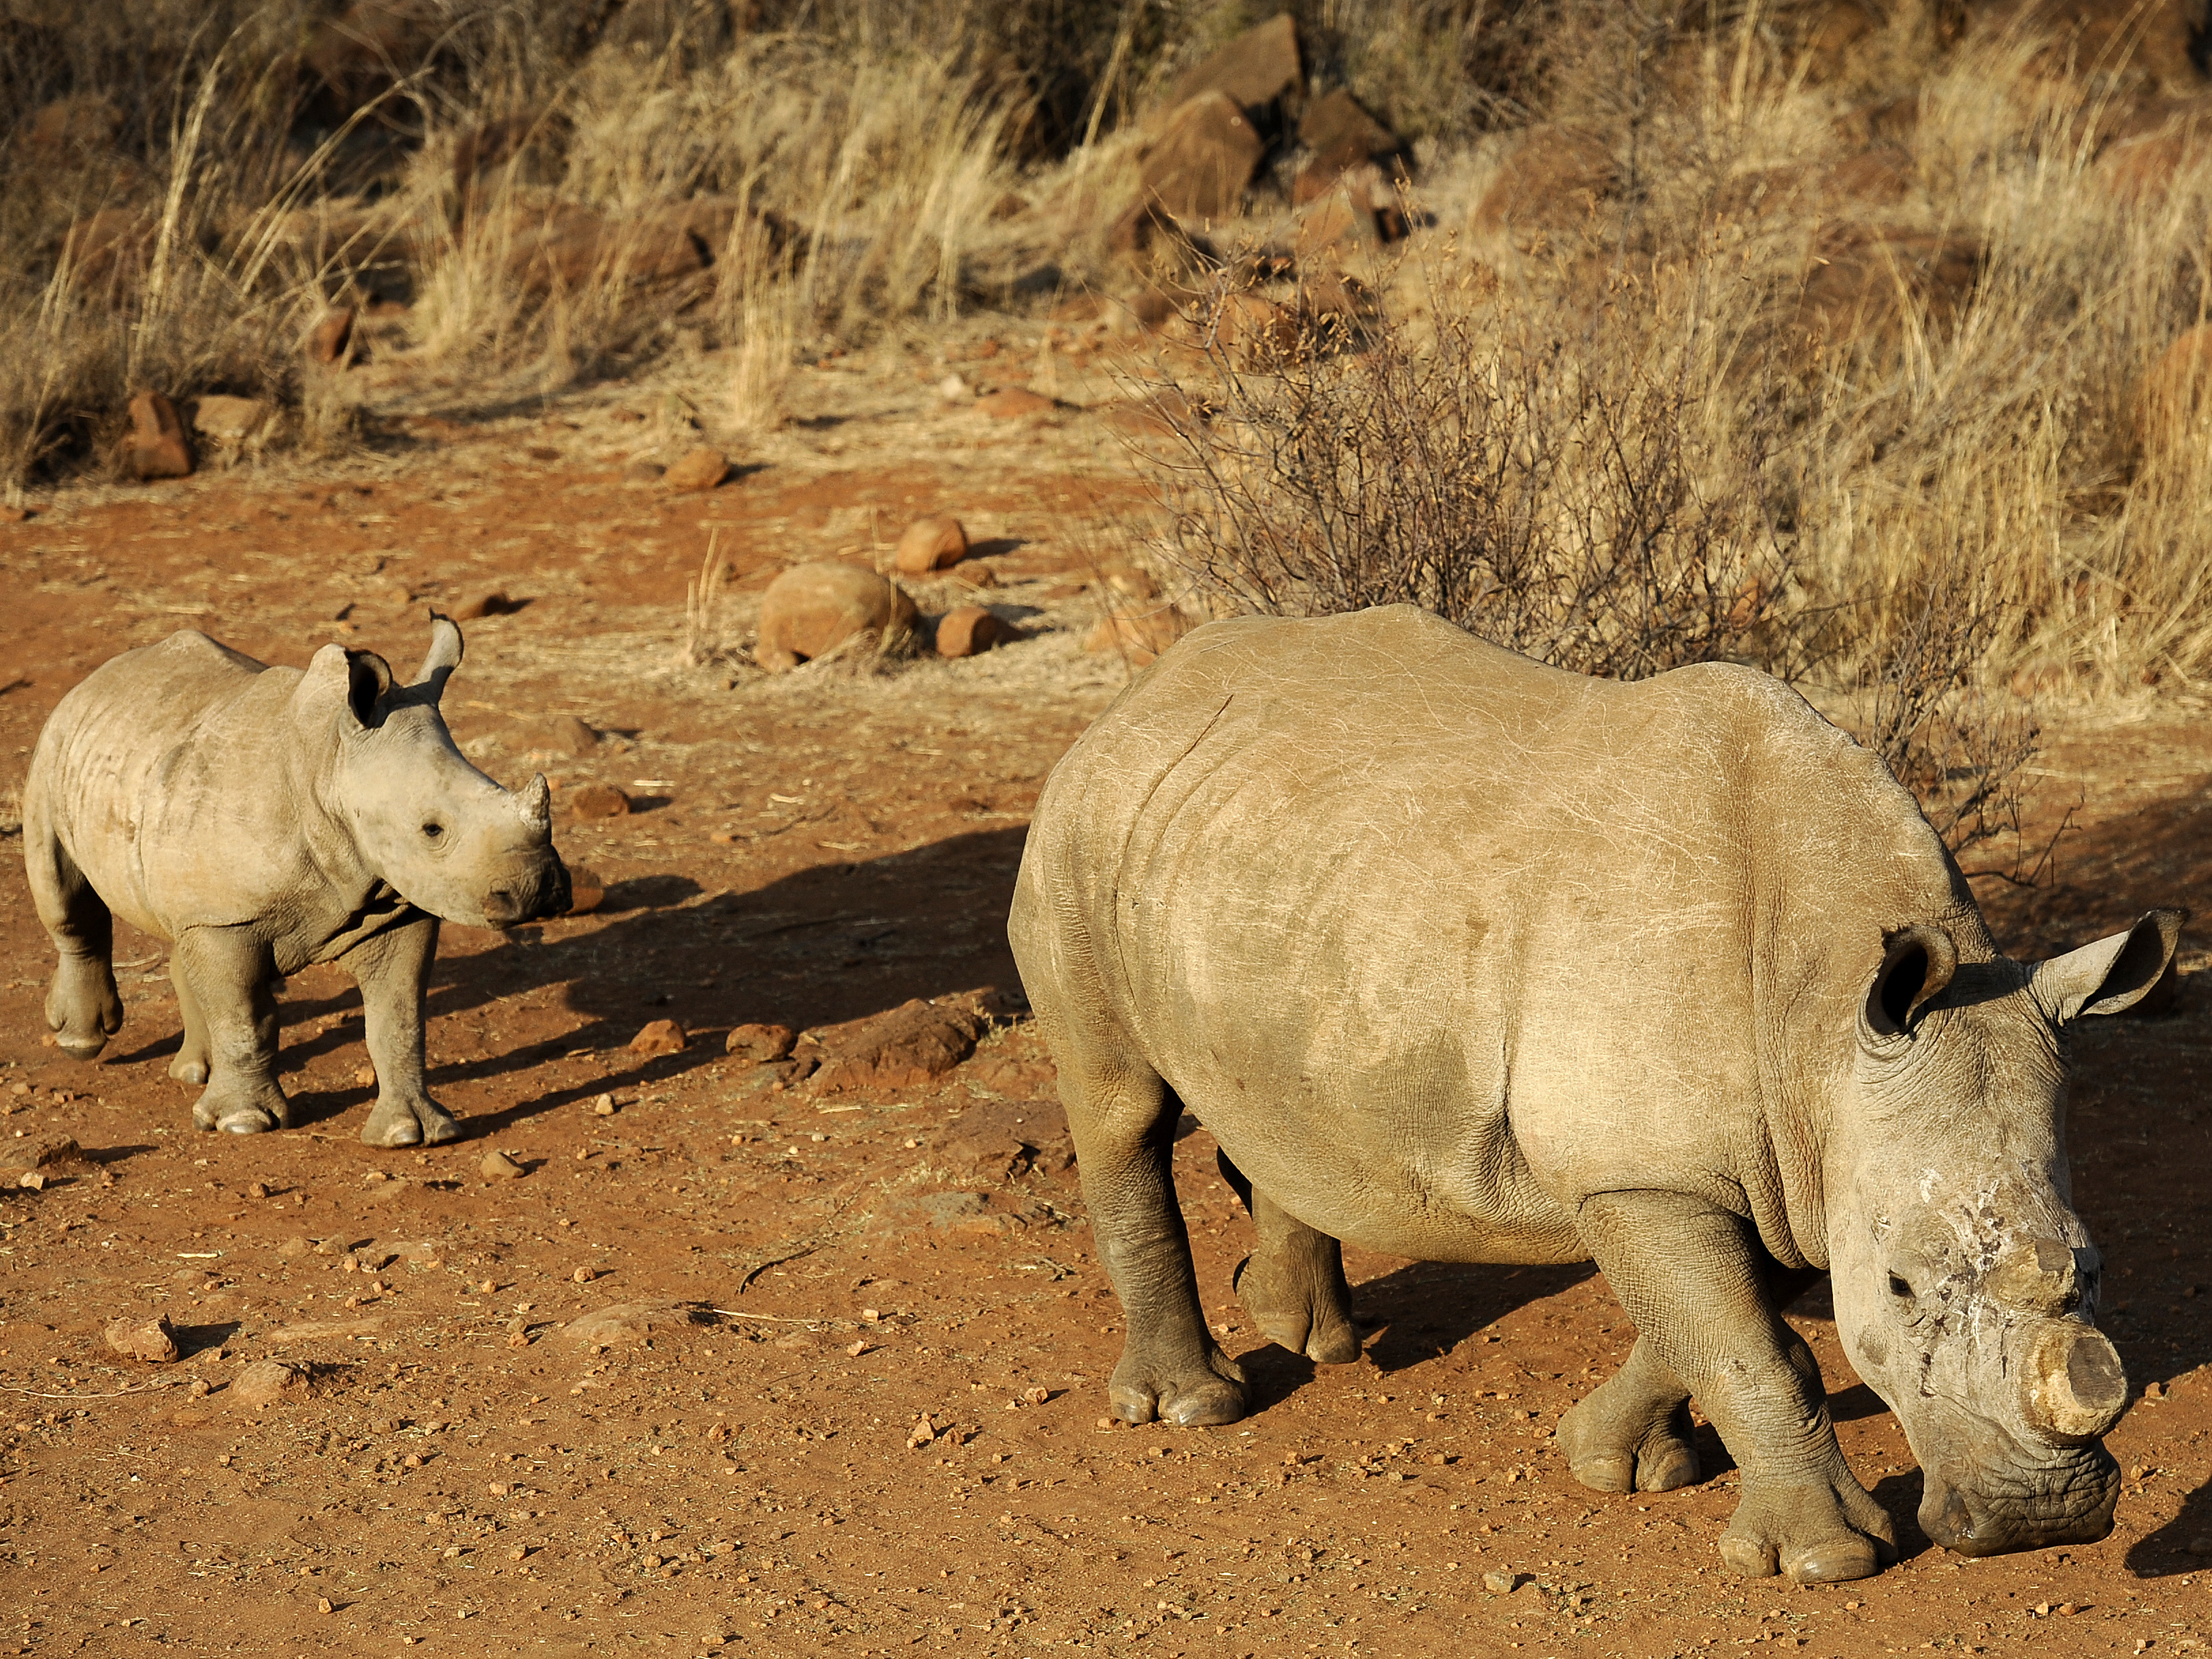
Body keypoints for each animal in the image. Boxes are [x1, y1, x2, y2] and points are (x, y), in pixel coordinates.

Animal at [23, 615, 570, 1145]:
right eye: (432, 830)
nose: (538, 889)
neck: (330, 762)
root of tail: (101, 675)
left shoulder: (396, 905)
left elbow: (399, 1019)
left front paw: (411, 1133)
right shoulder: (228, 917)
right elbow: (244, 1018)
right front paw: (243, 1124)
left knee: (182, 932)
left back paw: (197, 1074)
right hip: (55, 748)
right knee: (66, 898)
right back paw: (81, 1041)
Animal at [1008, 606, 2180, 1584]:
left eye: (2093, 1268)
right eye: (1895, 1287)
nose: (2041, 1520)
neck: (1822, 1008)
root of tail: (1140, 693)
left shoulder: (1760, 1154)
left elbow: (1710, 1323)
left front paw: (1613, 1463)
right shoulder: (1648, 1169)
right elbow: (1755, 1346)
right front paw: (1822, 1561)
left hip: (1260, 860)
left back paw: (1310, 1335)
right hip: (1080, 829)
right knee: (1119, 1104)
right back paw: (1194, 1405)